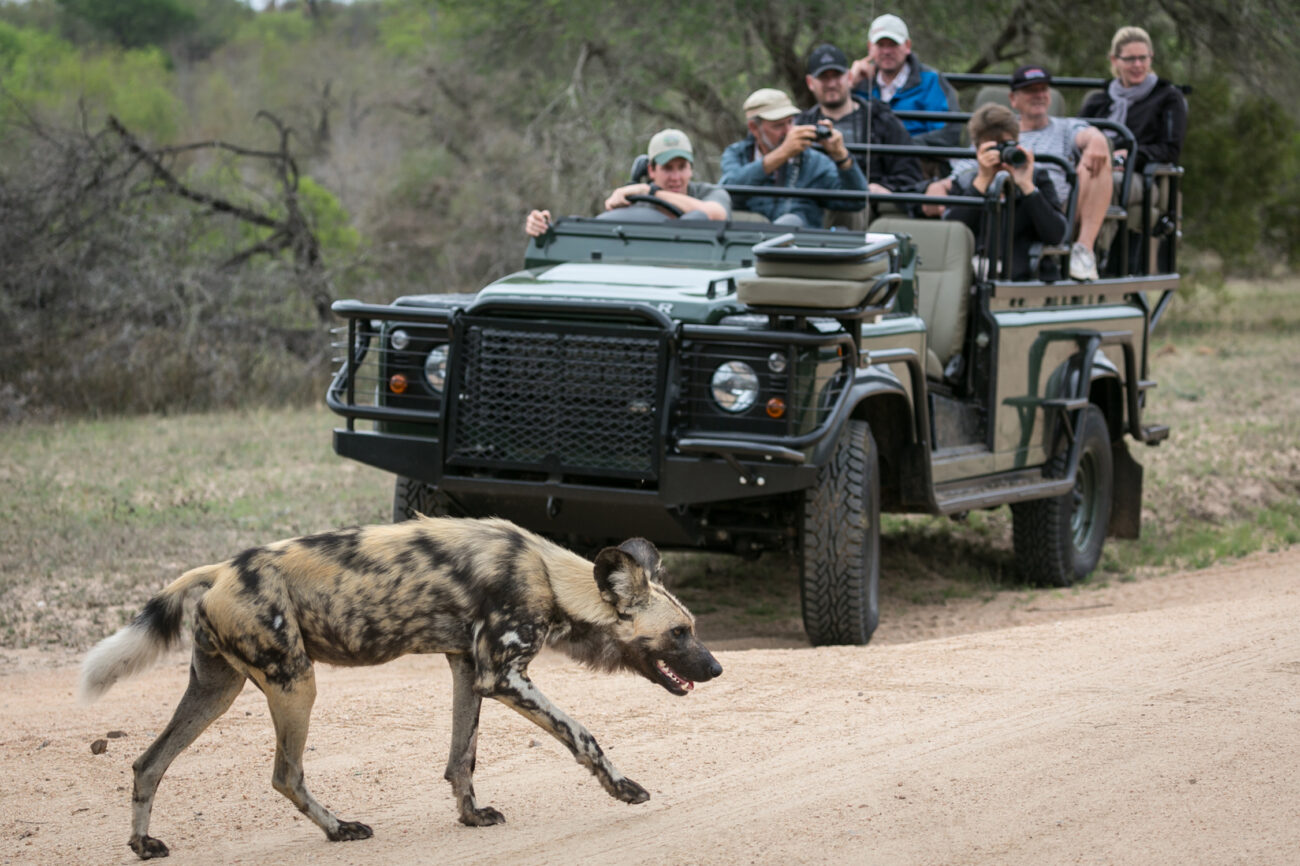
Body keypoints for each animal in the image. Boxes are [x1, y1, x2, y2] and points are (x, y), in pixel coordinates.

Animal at [79, 512, 722, 858]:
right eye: (680, 633)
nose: (717, 669)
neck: (549, 577)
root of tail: (220, 570)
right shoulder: (504, 676)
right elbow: (583, 734)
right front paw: (623, 789)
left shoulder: (468, 670)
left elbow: (462, 758)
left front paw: (472, 817)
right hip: (296, 685)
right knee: (285, 774)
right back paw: (340, 830)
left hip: (217, 690)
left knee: (148, 764)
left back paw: (143, 846)